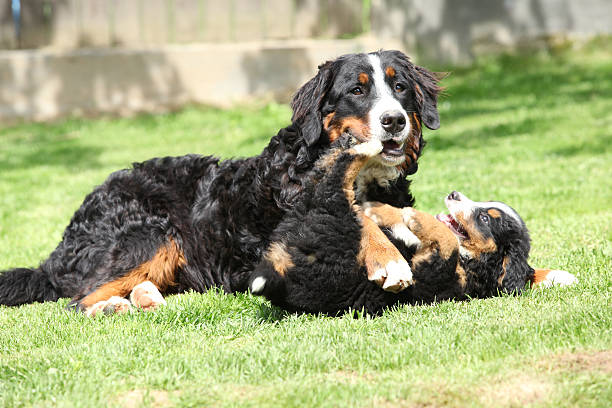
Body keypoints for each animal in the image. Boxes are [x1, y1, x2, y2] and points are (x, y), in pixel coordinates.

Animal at [0, 49, 444, 314]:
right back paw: (115, 306)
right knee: (78, 300)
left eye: (400, 87)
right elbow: (352, 217)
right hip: (151, 234)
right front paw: (387, 257)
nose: (394, 121)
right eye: (357, 89)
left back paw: (146, 296)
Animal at [246, 140, 576, 316]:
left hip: (332, 227)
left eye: (485, 219)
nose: (454, 194)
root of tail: (282, 277)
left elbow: (447, 241)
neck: (475, 264)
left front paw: (416, 218)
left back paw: (362, 150)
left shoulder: (435, 269)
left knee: (332, 187)